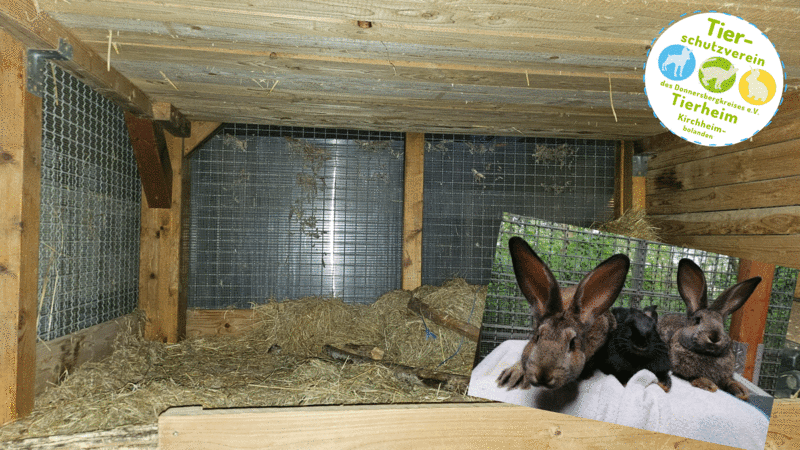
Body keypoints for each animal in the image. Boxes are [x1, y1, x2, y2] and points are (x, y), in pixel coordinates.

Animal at [657, 258, 762, 400]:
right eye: (697, 320)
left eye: (722, 324)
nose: (714, 337)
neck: (707, 354)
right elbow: (692, 377)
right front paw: (708, 384)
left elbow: (729, 381)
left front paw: (741, 391)